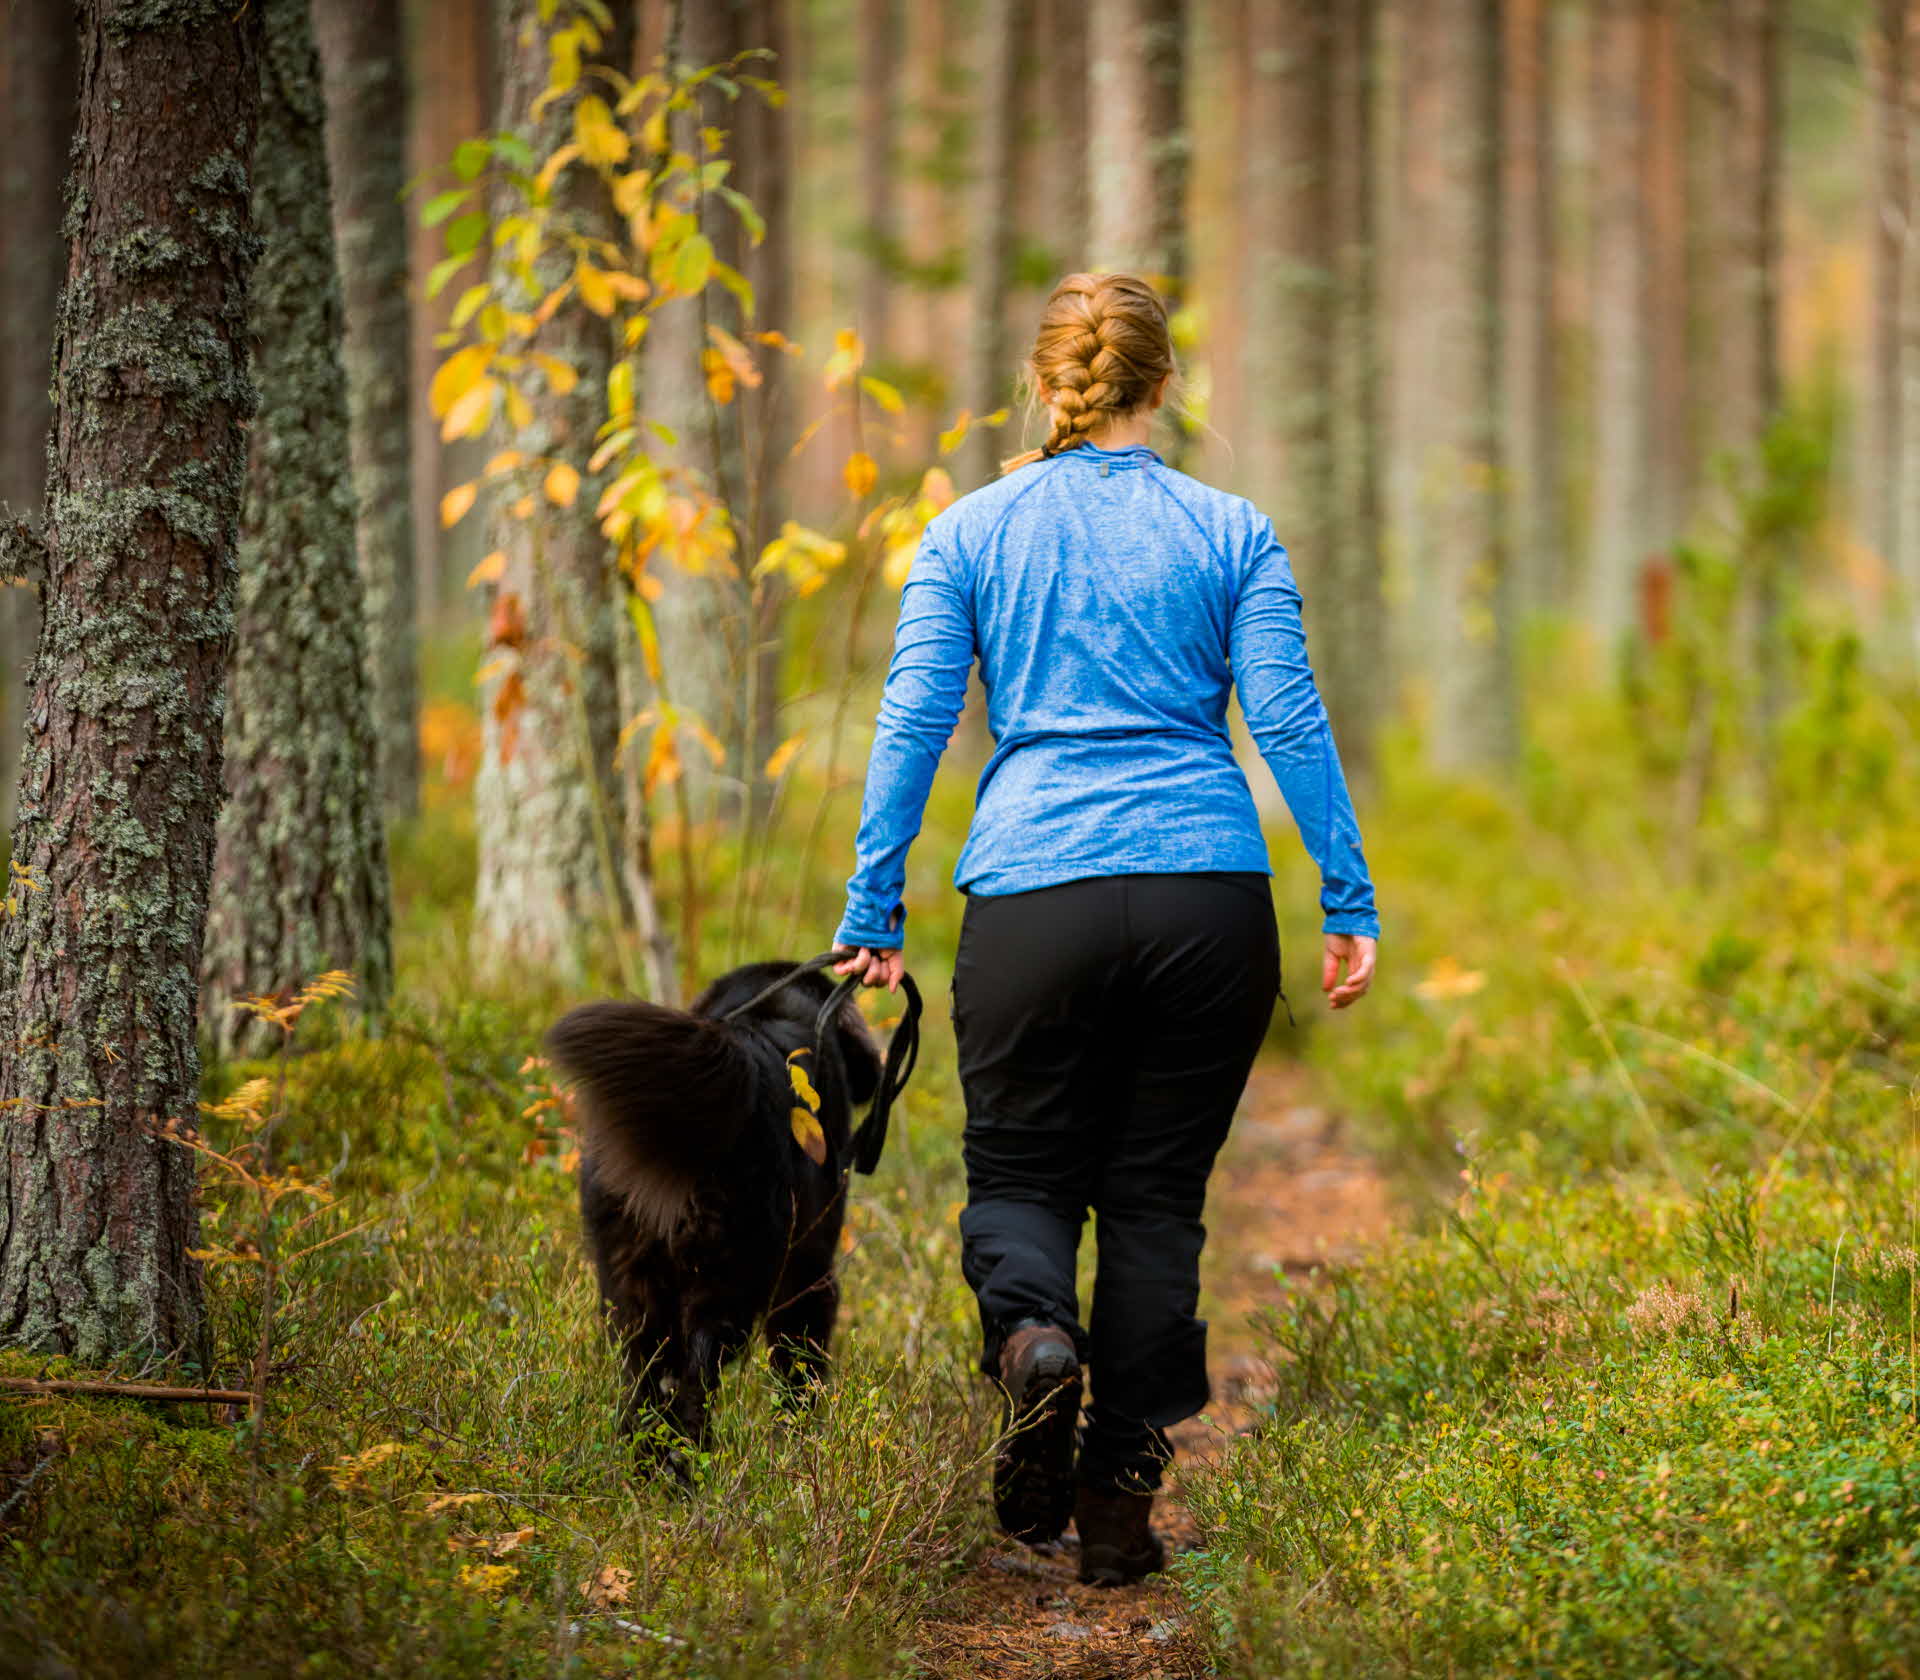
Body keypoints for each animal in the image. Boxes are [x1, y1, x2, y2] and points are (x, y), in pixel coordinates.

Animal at [545, 967, 887, 1466]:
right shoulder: (809, 1275)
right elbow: (798, 1372)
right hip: (729, 1280)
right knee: (695, 1381)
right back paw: (696, 1462)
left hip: (630, 1282)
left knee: (643, 1384)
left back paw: (647, 1465)